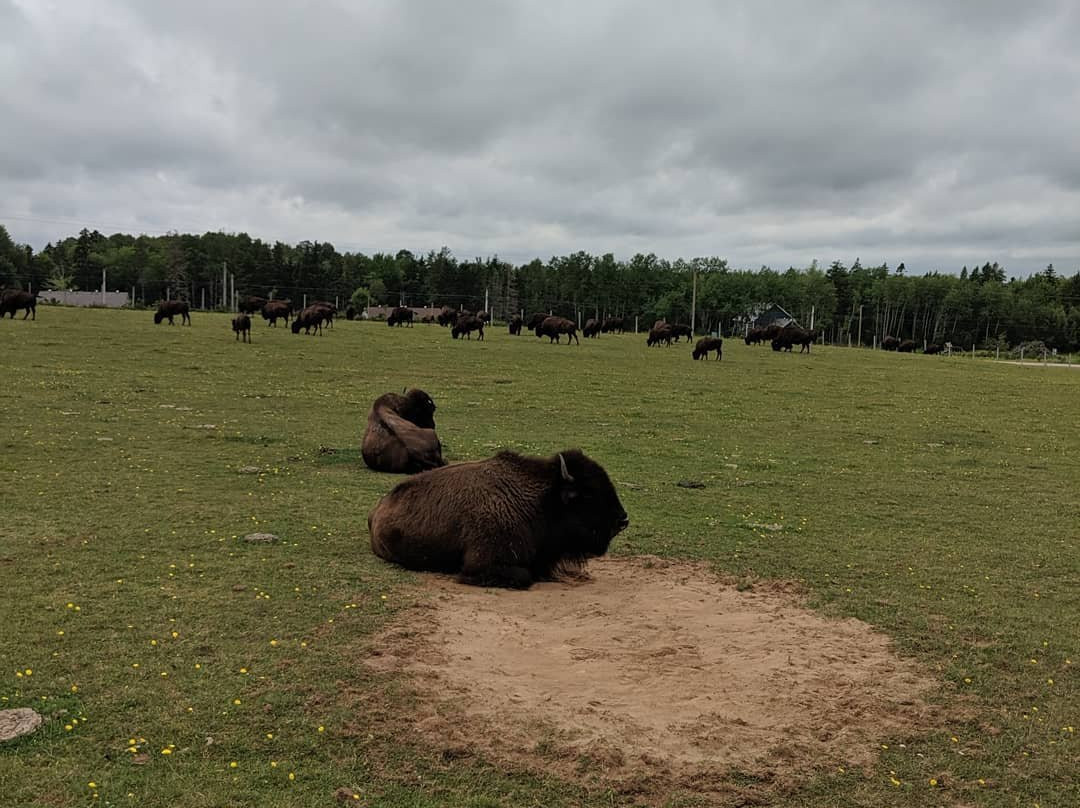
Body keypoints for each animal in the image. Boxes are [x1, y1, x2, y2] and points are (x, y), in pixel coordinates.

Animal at [369, 445, 630, 591]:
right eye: (588, 494)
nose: (623, 520)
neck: (541, 501)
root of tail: (377, 510)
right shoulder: (482, 563)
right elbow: (525, 576)